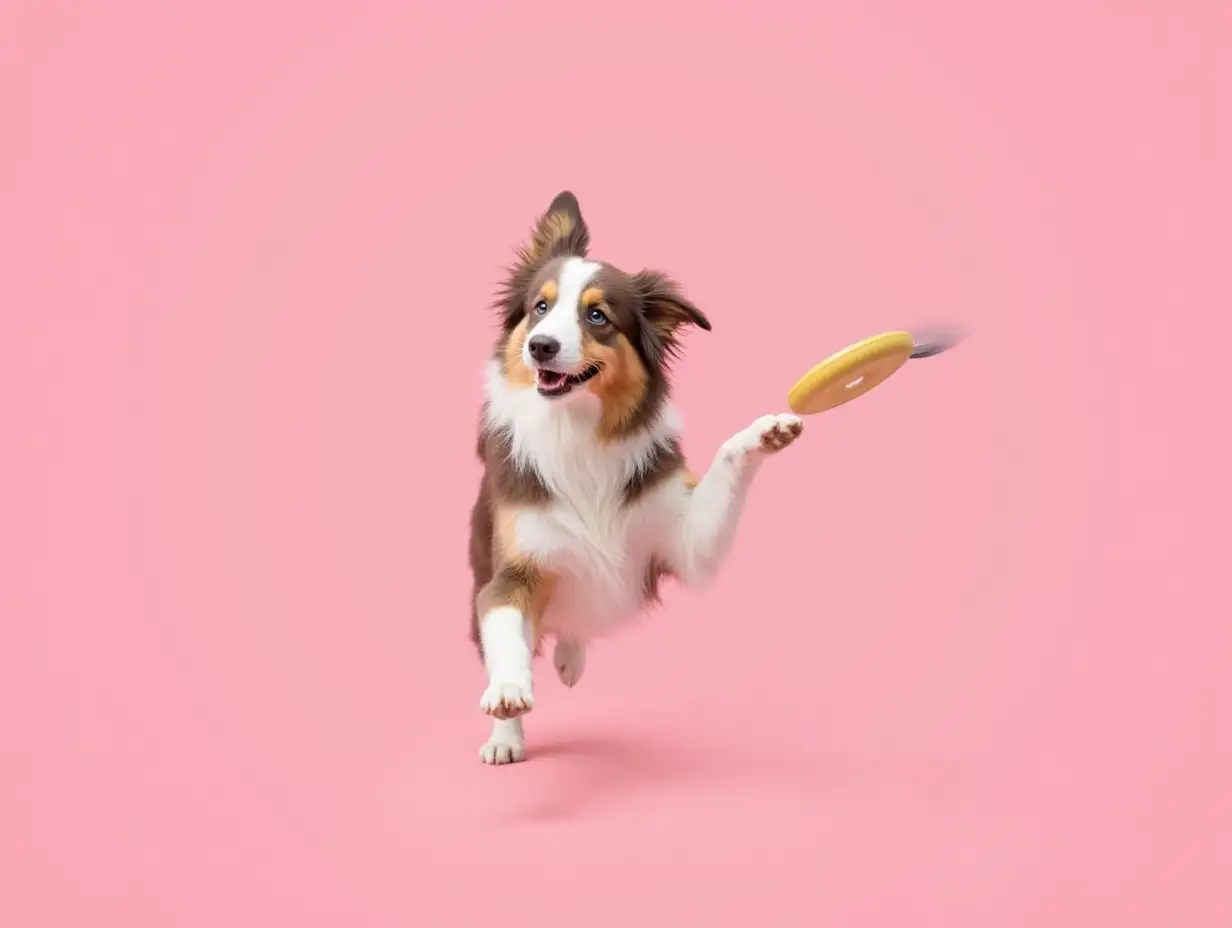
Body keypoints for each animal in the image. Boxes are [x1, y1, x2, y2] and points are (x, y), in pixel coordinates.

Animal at [465, 192, 803, 764]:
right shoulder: (510, 572)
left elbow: (724, 469)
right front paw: (508, 699)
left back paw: (570, 658)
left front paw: (766, 431)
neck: (576, 431)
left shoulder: (681, 539)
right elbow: (506, 631)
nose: (540, 346)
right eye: (540, 308)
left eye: (597, 316)